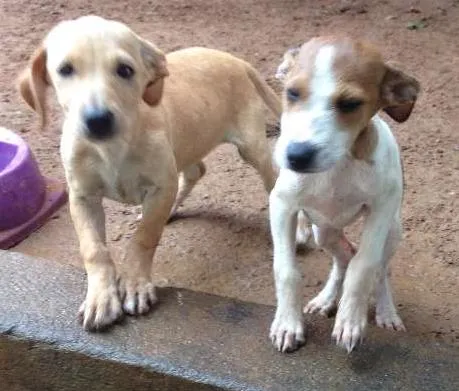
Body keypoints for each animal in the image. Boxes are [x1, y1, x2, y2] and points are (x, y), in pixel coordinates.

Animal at [18, 16, 282, 332]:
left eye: (125, 70)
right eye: (65, 69)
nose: (97, 120)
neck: (113, 147)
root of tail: (236, 61)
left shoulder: (160, 186)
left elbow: (144, 237)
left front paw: (135, 285)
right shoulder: (82, 197)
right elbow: (94, 249)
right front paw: (101, 298)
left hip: (251, 147)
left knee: (273, 178)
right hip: (186, 143)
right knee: (196, 170)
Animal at [270, 37, 420, 352]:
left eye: (350, 104)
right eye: (292, 93)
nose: (297, 156)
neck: (337, 167)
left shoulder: (380, 210)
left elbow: (364, 268)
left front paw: (351, 321)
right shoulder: (282, 206)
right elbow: (286, 270)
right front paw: (288, 325)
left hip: (392, 231)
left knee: (380, 270)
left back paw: (387, 313)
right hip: (323, 231)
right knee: (344, 257)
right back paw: (325, 300)